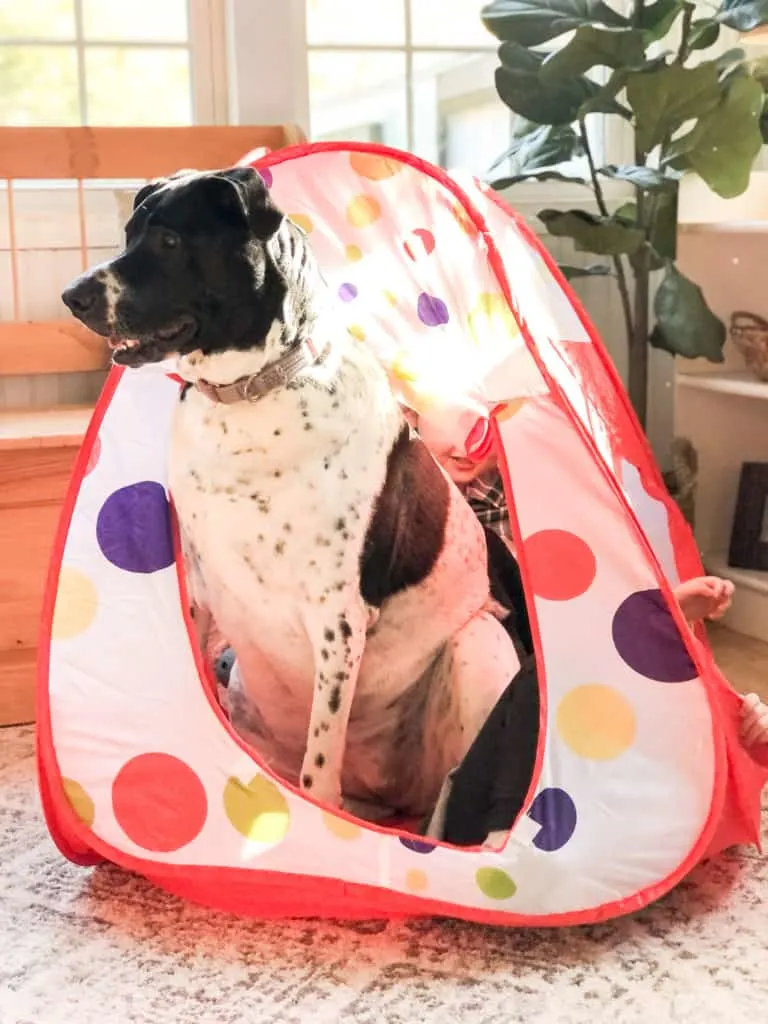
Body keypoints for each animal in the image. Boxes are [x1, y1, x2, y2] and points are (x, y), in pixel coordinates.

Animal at [61, 167, 524, 823]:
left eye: (170, 242)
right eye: (130, 234)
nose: (72, 295)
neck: (250, 397)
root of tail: (380, 797)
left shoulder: (337, 621)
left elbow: (319, 768)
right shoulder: (198, 589)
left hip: (476, 645)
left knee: (451, 786)